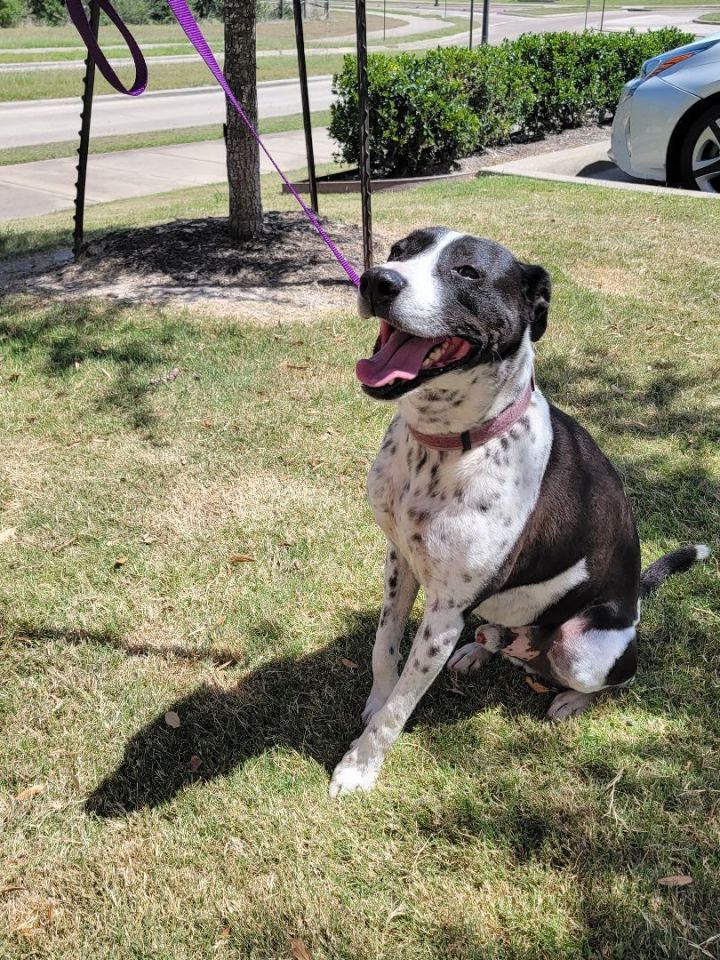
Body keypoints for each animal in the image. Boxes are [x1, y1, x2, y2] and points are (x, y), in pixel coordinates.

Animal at [330, 225, 712, 796]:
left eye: (467, 272)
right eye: (399, 250)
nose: (377, 280)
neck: (447, 445)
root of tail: (636, 602)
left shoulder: (445, 612)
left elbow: (401, 708)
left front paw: (359, 767)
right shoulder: (400, 561)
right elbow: (383, 647)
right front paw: (375, 700)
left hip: (583, 651)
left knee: (621, 677)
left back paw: (571, 699)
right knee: (500, 635)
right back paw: (481, 648)